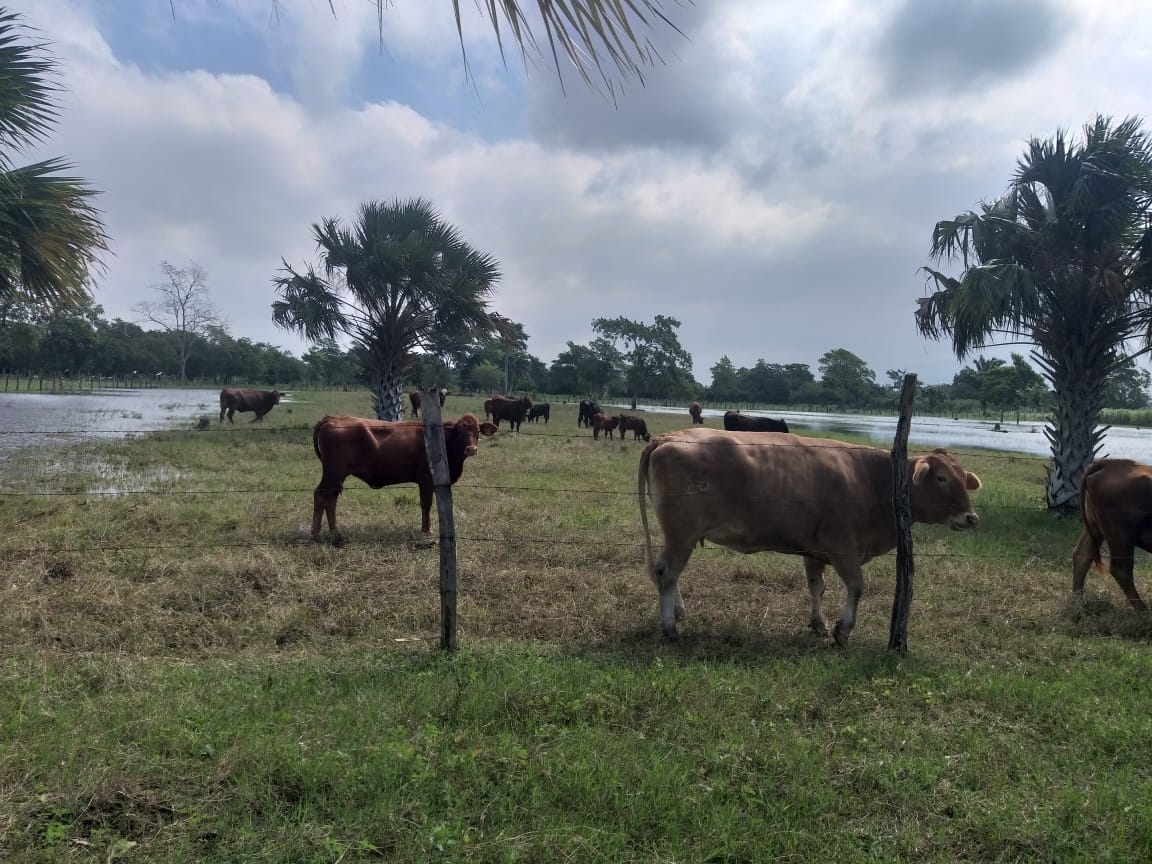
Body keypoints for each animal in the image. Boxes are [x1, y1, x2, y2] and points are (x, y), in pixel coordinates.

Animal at [313, 412, 497, 541]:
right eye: (459, 431)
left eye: (477, 430)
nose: (471, 449)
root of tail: (332, 418)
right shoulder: (426, 481)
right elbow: (426, 505)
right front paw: (427, 530)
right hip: (333, 473)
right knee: (321, 495)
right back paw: (316, 532)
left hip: (337, 476)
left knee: (331, 498)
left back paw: (334, 531)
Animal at [640, 430, 981, 645]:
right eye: (941, 478)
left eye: (963, 479)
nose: (971, 518)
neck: (873, 479)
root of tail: (668, 437)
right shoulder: (842, 546)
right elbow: (856, 586)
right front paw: (842, 630)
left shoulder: (814, 550)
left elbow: (817, 586)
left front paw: (818, 623)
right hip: (681, 533)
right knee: (667, 572)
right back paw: (670, 628)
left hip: (678, 536)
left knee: (666, 573)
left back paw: (679, 613)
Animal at [1069, 456, 1152, 612]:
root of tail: (1114, 463)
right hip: (1121, 535)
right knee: (1121, 570)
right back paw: (1142, 609)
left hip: (1094, 528)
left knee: (1082, 556)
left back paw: (1078, 605)